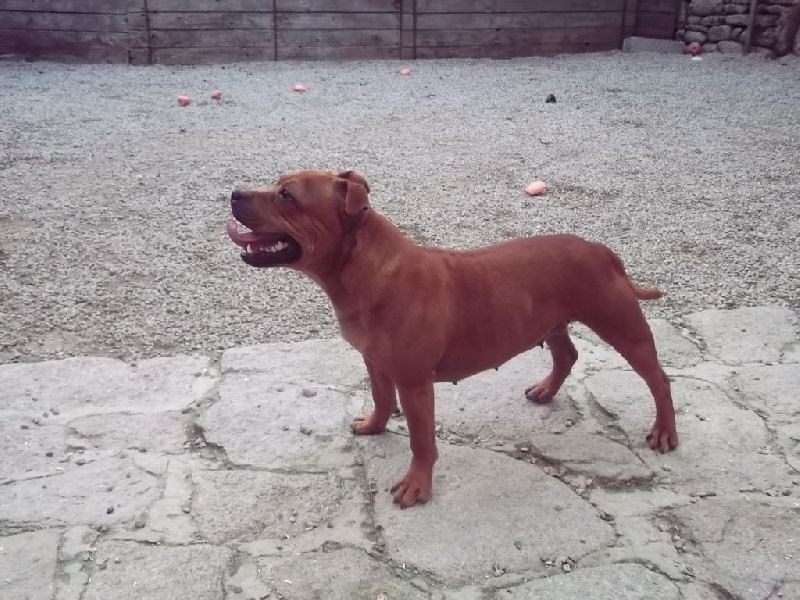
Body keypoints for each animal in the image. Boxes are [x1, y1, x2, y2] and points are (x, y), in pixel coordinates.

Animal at [225, 169, 676, 506]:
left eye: (286, 195)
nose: (233, 192)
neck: (363, 269)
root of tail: (601, 250)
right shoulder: (375, 362)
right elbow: (382, 399)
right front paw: (374, 426)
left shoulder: (414, 384)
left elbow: (421, 440)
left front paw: (417, 486)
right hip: (553, 323)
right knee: (566, 356)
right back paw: (546, 391)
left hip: (623, 329)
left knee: (659, 380)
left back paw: (665, 432)